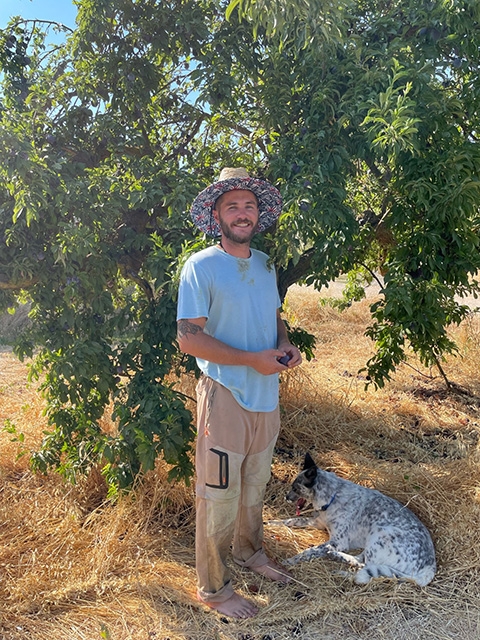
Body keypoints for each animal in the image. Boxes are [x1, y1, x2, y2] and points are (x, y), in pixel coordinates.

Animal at [268, 450, 436, 584]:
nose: (286, 498)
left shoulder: (338, 541)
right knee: (360, 560)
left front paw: (291, 560)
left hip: (381, 533)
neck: (333, 496)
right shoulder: (318, 522)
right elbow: (292, 520)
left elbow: (310, 551)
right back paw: (336, 556)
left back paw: (342, 571)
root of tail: (430, 568)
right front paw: (271, 523)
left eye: (295, 488)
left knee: (366, 568)